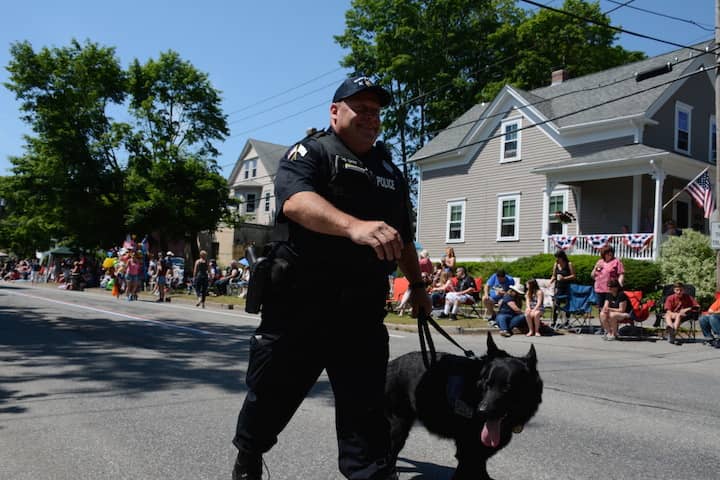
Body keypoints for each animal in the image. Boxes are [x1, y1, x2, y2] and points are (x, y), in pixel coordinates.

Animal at [386, 332, 544, 478]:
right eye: (487, 384)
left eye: (507, 388)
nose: (481, 412)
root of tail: (390, 364)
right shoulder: (468, 453)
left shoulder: (478, 455)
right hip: (397, 430)